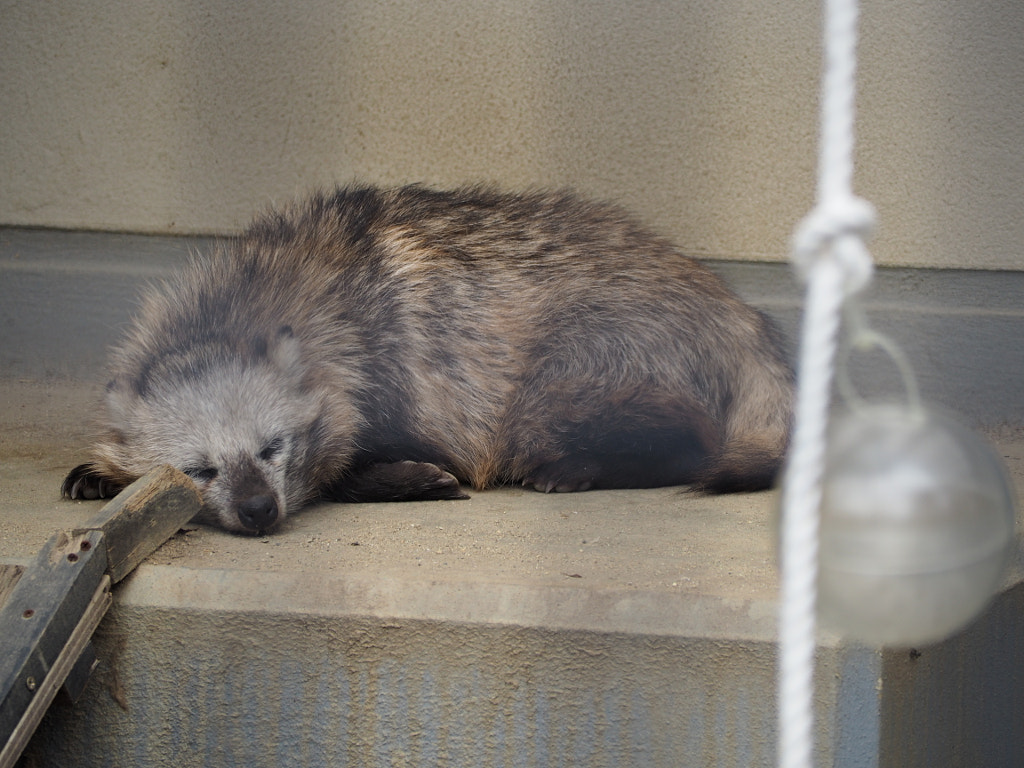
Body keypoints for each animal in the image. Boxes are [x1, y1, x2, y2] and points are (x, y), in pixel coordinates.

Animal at [61, 186, 790, 536]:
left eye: (273, 447)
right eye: (198, 469)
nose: (258, 511)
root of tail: (740, 314)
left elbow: (349, 473)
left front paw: (407, 480)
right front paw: (98, 473)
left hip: (549, 398)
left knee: (694, 443)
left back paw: (572, 468)